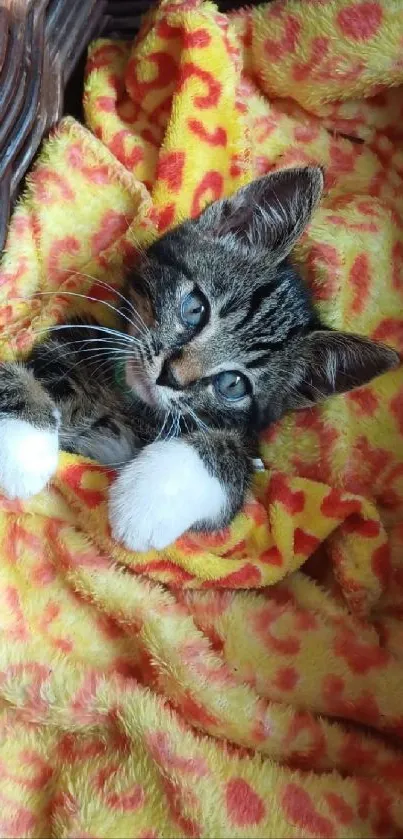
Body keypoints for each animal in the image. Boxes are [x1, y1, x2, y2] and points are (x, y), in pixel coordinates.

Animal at [0, 170, 400, 552]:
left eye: (233, 384)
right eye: (196, 308)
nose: (170, 376)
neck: (130, 404)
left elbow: (233, 455)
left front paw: (150, 500)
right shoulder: (70, 337)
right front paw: (24, 443)